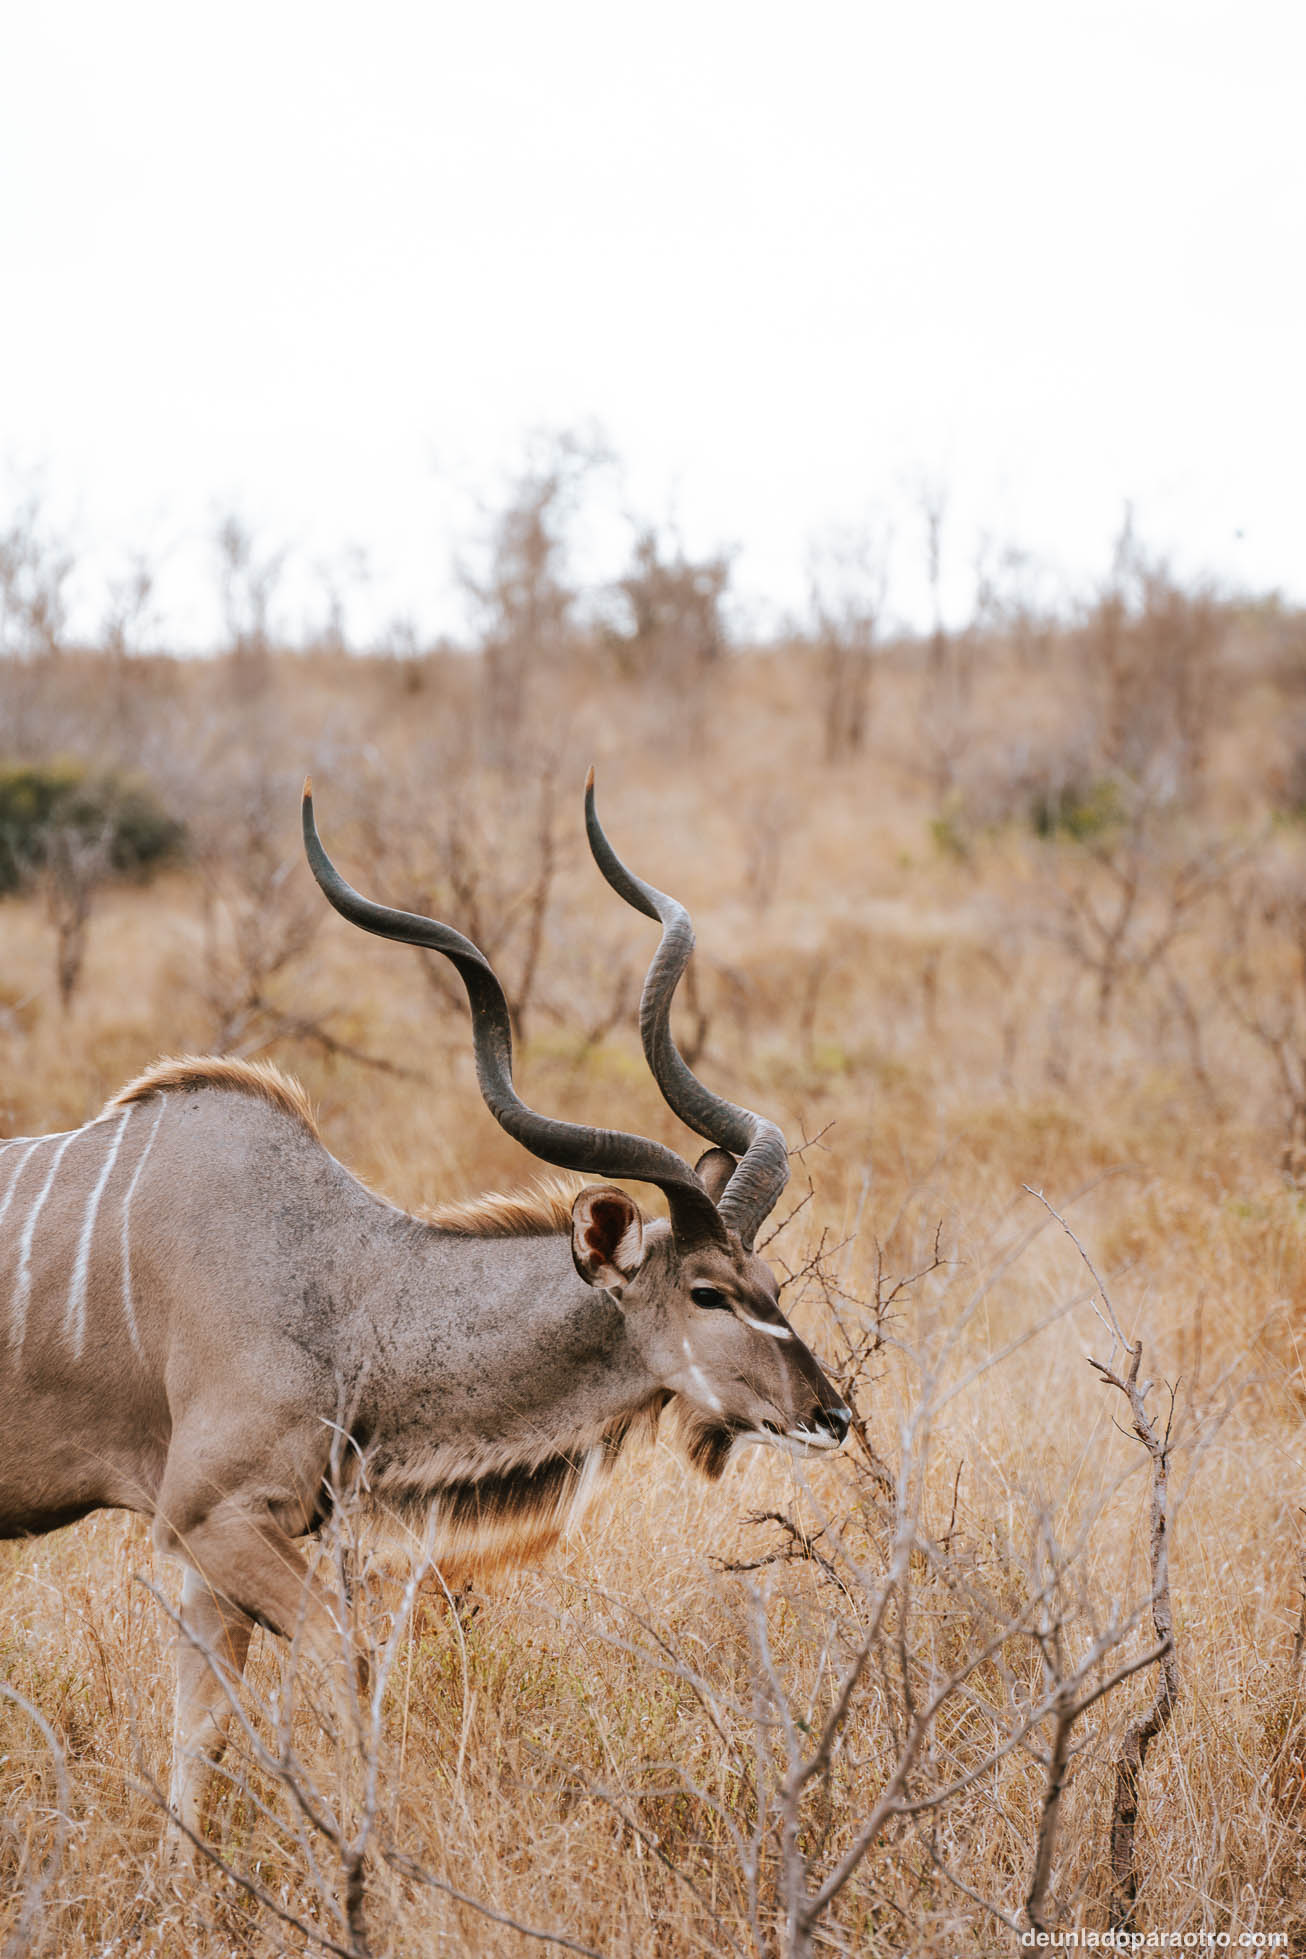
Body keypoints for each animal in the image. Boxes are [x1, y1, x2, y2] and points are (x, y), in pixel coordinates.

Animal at [0, 775, 849, 1833]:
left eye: (771, 1285)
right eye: (708, 1292)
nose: (832, 1414)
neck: (347, 1289)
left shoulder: (212, 1548)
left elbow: (197, 1736)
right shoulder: (210, 1516)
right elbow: (341, 1665)